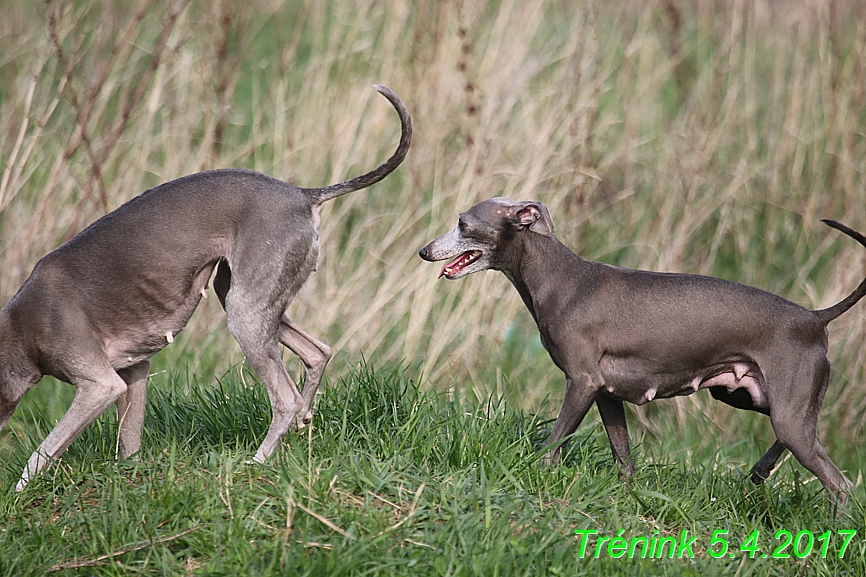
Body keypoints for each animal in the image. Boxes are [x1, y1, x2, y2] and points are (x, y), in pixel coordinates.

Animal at [0, 85, 412, 490]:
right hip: (242, 295)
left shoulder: (99, 385)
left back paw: (257, 460)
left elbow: (43, 452)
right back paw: (302, 423)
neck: (19, 327)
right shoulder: (133, 372)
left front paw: (18, 496)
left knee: (285, 398)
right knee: (317, 353)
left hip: (246, 312)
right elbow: (128, 443)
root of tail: (303, 195)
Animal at [420, 199, 864, 504]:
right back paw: (759, 471)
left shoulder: (582, 382)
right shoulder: (605, 393)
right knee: (802, 438)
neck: (559, 279)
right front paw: (626, 496)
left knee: (839, 482)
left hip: (786, 406)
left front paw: (533, 475)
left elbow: (555, 442)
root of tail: (815, 318)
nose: (424, 251)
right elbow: (623, 457)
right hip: (750, 396)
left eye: (463, 224)